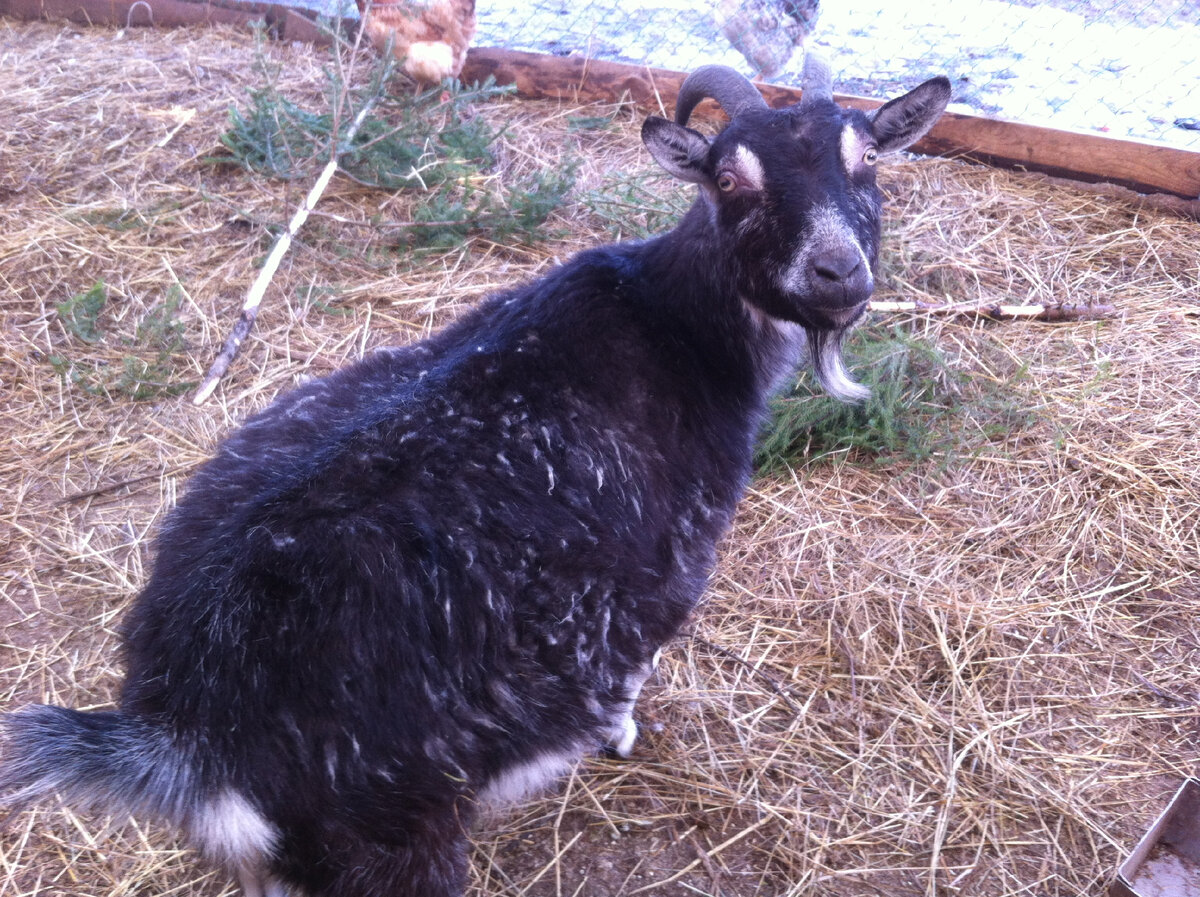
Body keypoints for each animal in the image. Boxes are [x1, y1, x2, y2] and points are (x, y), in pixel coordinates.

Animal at [0, 56, 945, 897]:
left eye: (868, 159)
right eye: (728, 178)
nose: (838, 273)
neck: (678, 324)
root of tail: (192, 721)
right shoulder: (661, 579)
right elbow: (632, 670)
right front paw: (618, 734)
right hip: (392, 832)